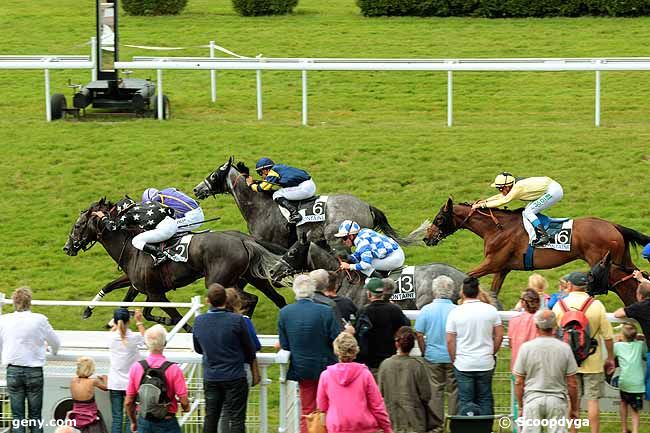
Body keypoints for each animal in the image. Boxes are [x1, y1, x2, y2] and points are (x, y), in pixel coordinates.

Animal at [420, 196, 644, 304]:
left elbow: (467, 275)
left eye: (439, 218)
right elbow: (494, 291)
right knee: (636, 276)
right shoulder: (502, 268)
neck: (496, 228)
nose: (426, 238)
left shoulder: (492, 263)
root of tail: (614, 226)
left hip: (604, 263)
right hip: (621, 260)